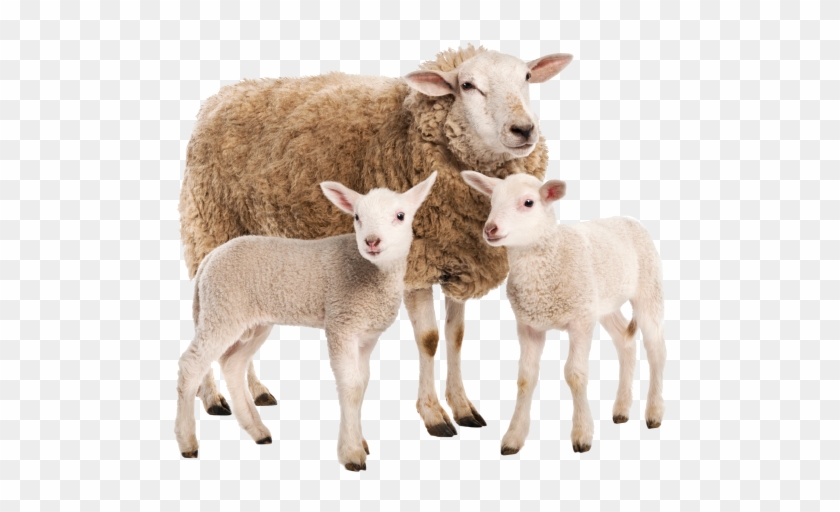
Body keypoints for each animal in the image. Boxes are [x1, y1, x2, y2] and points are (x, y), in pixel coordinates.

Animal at [175, 173, 437, 471]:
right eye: (357, 216)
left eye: (400, 216)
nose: (371, 241)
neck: (372, 274)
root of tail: (210, 259)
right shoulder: (341, 322)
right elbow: (350, 386)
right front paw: (351, 453)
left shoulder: (366, 335)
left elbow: (362, 385)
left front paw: (360, 443)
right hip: (222, 308)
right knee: (192, 365)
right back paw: (187, 443)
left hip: (250, 320)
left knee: (233, 364)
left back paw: (258, 431)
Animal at [179, 46, 575, 436]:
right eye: (467, 85)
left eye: (526, 77)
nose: (523, 129)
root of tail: (222, 96)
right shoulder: (416, 264)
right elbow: (429, 339)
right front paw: (434, 415)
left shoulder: (457, 257)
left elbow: (456, 336)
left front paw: (463, 408)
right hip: (210, 230)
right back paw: (212, 398)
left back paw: (256, 392)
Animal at [461, 171, 666, 455]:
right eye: (492, 201)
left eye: (528, 203)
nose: (490, 229)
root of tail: (628, 219)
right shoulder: (529, 325)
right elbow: (525, 379)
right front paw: (513, 437)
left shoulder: (580, 320)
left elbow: (575, 374)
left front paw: (582, 434)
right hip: (602, 302)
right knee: (625, 342)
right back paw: (622, 410)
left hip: (648, 288)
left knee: (656, 349)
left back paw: (654, 412)